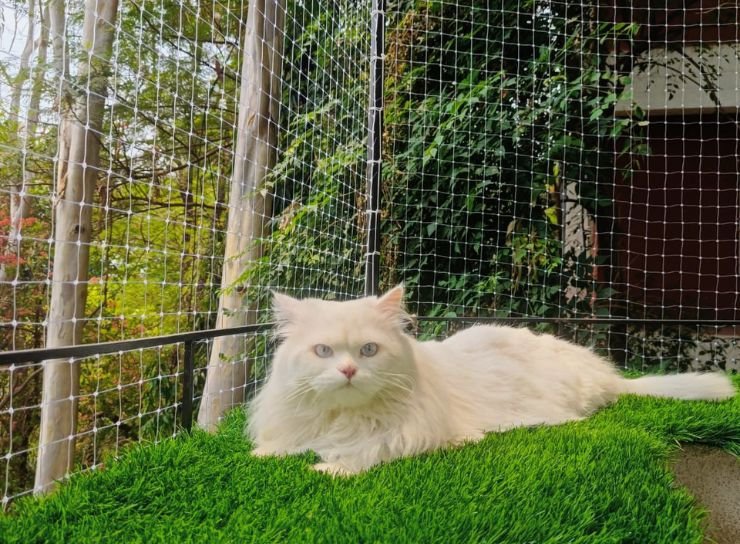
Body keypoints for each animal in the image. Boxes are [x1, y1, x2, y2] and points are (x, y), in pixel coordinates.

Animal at [247, 285, 736, 476]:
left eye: (368, 350)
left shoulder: (413, 435)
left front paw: (330, 468)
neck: (343, 418)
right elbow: (280, 444)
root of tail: (609, 376)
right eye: (323, 352)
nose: (347, 371)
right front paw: (265, 454)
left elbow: (368, 452)